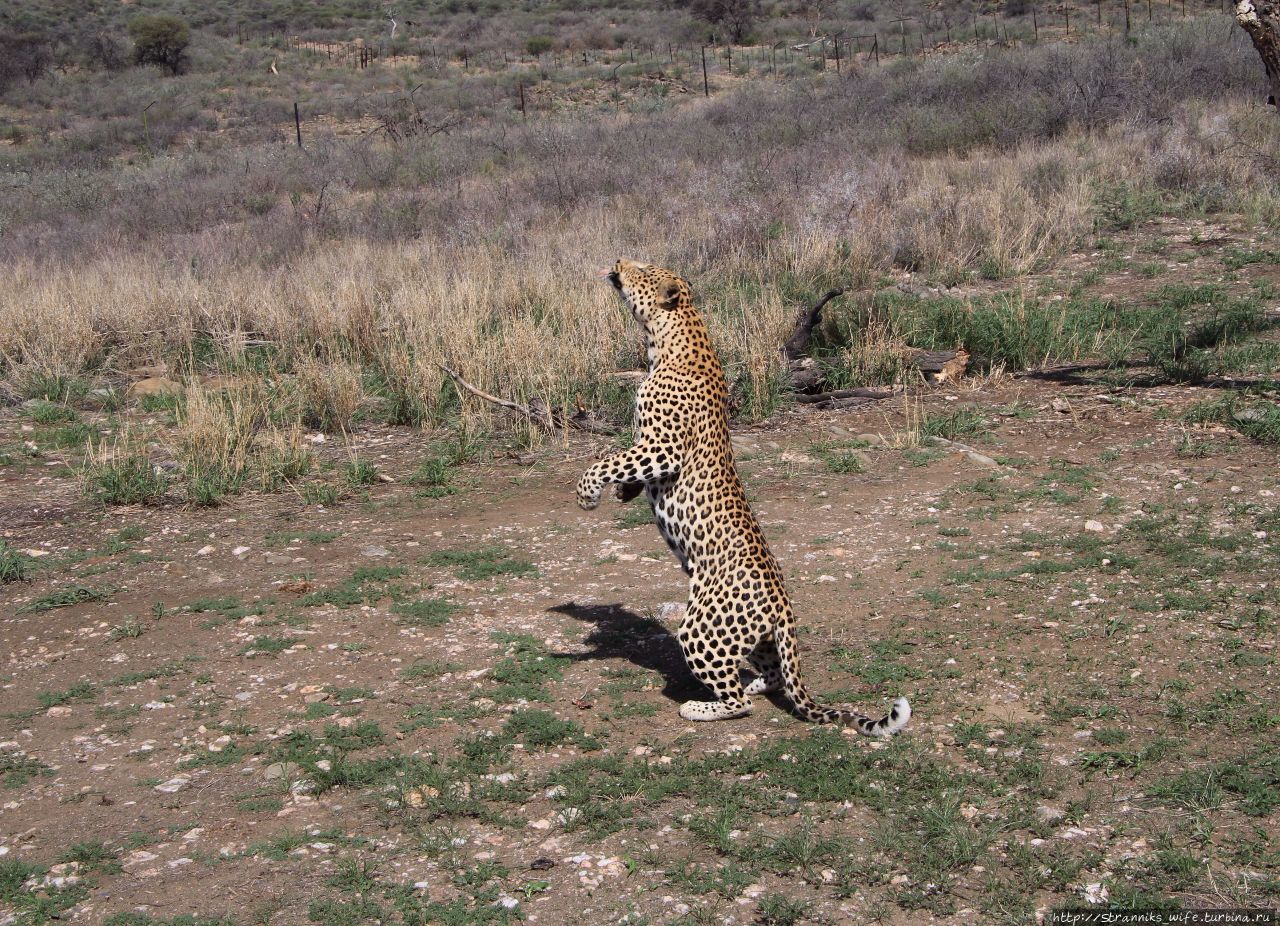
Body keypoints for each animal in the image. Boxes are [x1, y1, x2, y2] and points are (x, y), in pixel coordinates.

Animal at [576, 261, 916, 737]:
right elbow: (623, 464)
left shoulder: (663, 447)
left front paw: (588, 494)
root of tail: (783, 607)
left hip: (701, 628)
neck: (664, 338)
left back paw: (701, 706)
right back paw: (757, 682)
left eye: (642, 270)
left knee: (738, 701)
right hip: (751, 637)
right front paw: (624, 491)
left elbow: (606, 462)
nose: (620, 262)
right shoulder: (648, 448)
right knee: (772, 676)